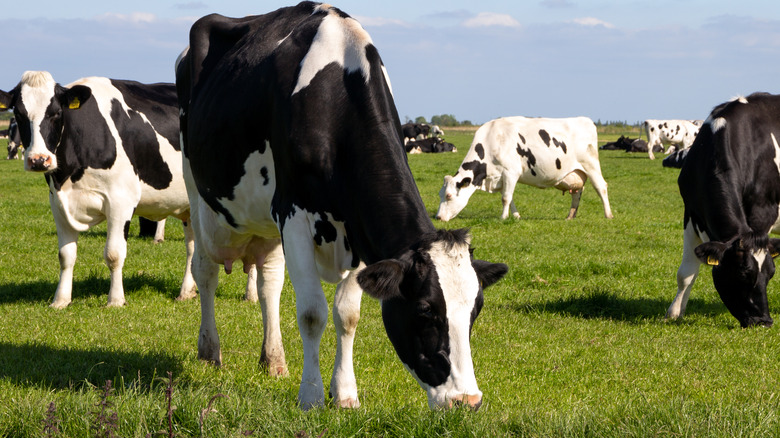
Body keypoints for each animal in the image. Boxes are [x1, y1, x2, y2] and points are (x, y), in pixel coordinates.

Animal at [0, 72, 200, 308]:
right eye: (19, 113)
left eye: (56, 113)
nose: (39, 160)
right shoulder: (58, 203)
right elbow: (66, 255)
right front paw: (60, 300)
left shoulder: (120, 201)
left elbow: (114, 254)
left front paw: (115, 300)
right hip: (190, 206)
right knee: (193, 246)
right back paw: (186, 291)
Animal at [174, 1, 508, 410]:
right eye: (425, 310)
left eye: (476, 309)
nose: (468, 400)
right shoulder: (293, 215)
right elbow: (311, 313)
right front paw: (312, 396)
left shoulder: (358, 226)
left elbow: (347, 315)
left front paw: (345, 393)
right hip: (197, 190)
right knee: (205, 269)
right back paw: (210, 351)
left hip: (266, 221)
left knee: (269, 283)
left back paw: (273, 359)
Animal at [436, 115, 612, 221]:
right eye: (440, 195)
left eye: (449, 196)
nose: (438, 217)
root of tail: (585, 120)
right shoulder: (502, 177)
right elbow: (509, 197)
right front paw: (516, 216)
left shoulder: (511, 172)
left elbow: (505, 198)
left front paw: (503, 218)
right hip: (577, 173)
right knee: (577, 193)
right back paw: (570, 217)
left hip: (591, 165)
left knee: (601, 187)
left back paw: (608, 215)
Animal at [664, 93, 780, 328]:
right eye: (743, 274)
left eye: (771, 273)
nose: (764, 321)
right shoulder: (690, 214)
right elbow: (686, 273)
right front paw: (675, 312)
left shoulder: (764, 213)